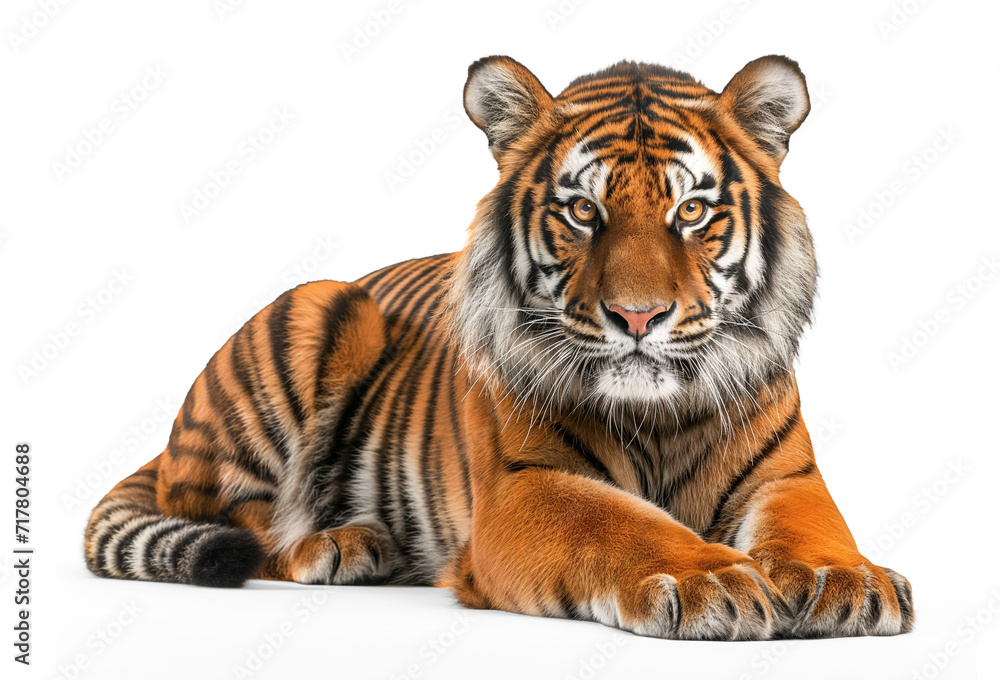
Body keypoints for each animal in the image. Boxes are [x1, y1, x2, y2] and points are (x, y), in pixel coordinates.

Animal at [85, 55, 913, 640]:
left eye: (690, 212)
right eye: (581, 211)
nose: (638, 316)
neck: (657, 418)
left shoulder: (788, 474)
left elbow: (815, 526)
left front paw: (847, 581)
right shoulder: (527, 486)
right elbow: (622, 523)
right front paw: (714, 580)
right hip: (322, 307)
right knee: (241, 520)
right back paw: (344, 544)